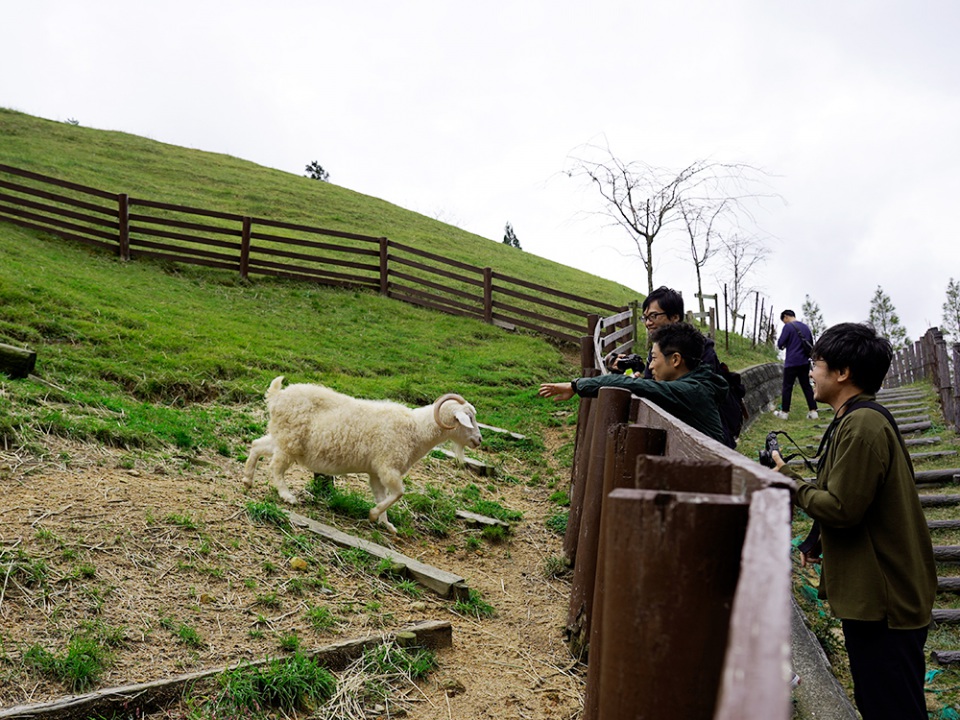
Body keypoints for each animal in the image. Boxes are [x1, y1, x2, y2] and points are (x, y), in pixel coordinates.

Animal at [240, 376, 480, 536]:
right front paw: (374, 515)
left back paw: (247, 480)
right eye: (468, 417)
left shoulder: (376, 473)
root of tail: (277, 396)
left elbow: (382, 496)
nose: (479, 440)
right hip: (289, 441)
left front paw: (385, 523)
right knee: (276, 467)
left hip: (281, 437)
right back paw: (287, 496)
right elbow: (398, 493)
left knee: (257, 445)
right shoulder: (387, 466)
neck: (416, 429)